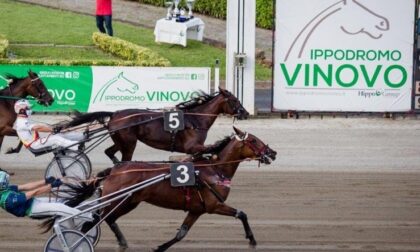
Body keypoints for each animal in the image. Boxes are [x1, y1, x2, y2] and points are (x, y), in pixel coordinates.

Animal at [62, 87, 249, 162]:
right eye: (234, 100)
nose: (245, 113)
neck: (195, 120)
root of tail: (115, 114)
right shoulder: (192, 146)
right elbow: (205, 151)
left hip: (120, 140)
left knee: (109, 152)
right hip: (129, 143)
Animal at [62, 127, 276, 251]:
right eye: (253, 140)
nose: (272, 153)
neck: (215, 170)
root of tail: (114, 169)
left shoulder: (197, 210)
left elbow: (181, 233)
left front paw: (160, 247)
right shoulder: (214, 206)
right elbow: (242, 214)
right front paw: (252, 240)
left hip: (129, 202)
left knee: (107, 219)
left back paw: (121, 242)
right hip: (117, 200)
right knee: (94, 221)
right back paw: (76, 242)